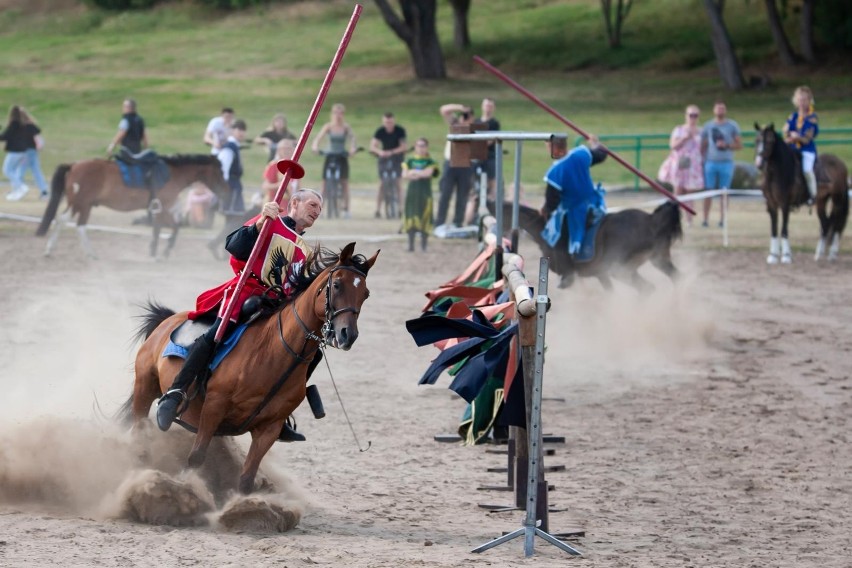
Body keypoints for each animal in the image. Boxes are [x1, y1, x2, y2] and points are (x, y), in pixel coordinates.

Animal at [35, 155, 230, 262]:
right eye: (219, 171)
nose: (226, 190)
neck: (172, 174)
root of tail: (74, 165)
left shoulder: (163, 209)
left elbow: (174, 228)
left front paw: (162, 251)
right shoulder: (162, 207)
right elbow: (161, 229)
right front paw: (157, 254)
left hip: (80, 204)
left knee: (65, 221)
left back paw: (51, 250)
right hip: (82, 204)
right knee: (77, 225)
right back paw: (89, 253)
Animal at [118, 242, 378, 494]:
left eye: (365, 294)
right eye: (337, 285)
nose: (347, 335)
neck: (271, 352)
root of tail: (167, 320)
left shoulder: (269, 428)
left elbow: (246, 478)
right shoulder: (213, 408)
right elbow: (196, 458)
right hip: (145, 387)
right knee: (139, 430)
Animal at [496, 201, 684, 292]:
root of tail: (651, 221)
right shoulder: (601, 275)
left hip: (622, 270)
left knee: (647, 288)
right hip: (659, 260)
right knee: (674, 278)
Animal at [756, 123, 848, 262]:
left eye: (770, 141)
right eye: (757, 141)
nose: (759, 163)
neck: (777, 171)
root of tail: (840, 163)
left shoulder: (785, 205)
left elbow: (784, 229)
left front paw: (786, 256)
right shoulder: (771, 204)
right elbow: (774, 229)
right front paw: (773, 256)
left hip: (837, 200)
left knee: (837, 225)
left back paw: (832, 254)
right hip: (821, 201)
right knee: (826, 224)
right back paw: (818, 255)